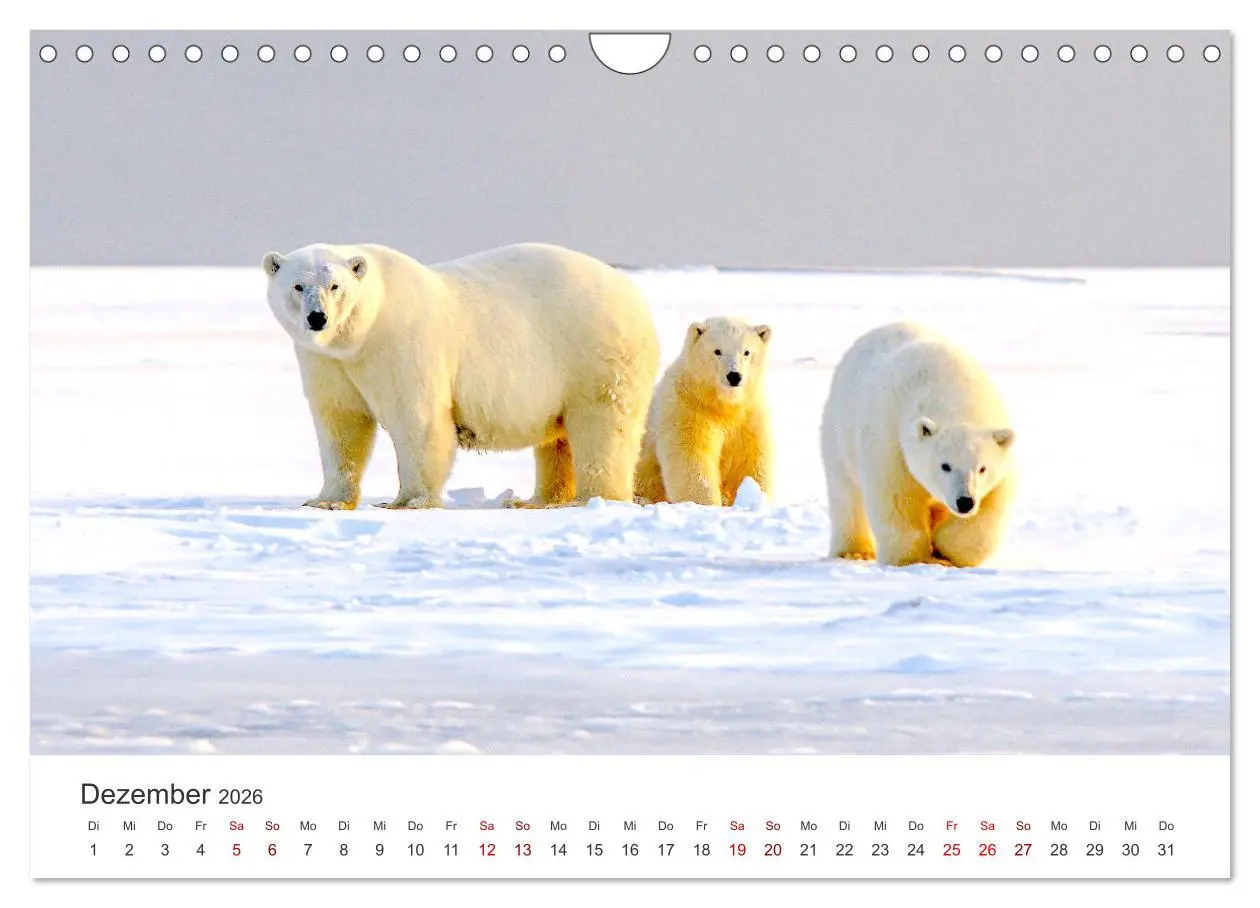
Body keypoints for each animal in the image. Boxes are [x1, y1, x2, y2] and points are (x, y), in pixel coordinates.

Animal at [261, 242, 660, 510]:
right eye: (297, 286)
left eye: (335, 286)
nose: (317, 318)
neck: (363, 332)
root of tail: (634, 295)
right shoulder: (327, 361)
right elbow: (340, 423)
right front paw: (326, 500)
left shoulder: (402, 343)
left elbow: (417, 419)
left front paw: (408, 501)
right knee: (557, 439)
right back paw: (538, 500)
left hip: (593, 356)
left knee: (602, 428)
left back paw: (593, 499)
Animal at [633, 316, 773, 506]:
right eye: (717, 351)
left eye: (746, 352)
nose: (734, 376)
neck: (720, 403)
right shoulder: (688, 407)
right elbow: (692, 457)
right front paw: (707, 504)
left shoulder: (749, 415)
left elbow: (749, 459)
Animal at [820, 322, 1016, 567]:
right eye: (945, 465)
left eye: (982, 468)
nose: (965, 502)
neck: (953, 393)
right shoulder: (890, 440)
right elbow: (896, 499)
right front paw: (913, 558)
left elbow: (988, 511)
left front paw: (944, 551)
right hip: (839, 431)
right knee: (846, 495)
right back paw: (854, 552)